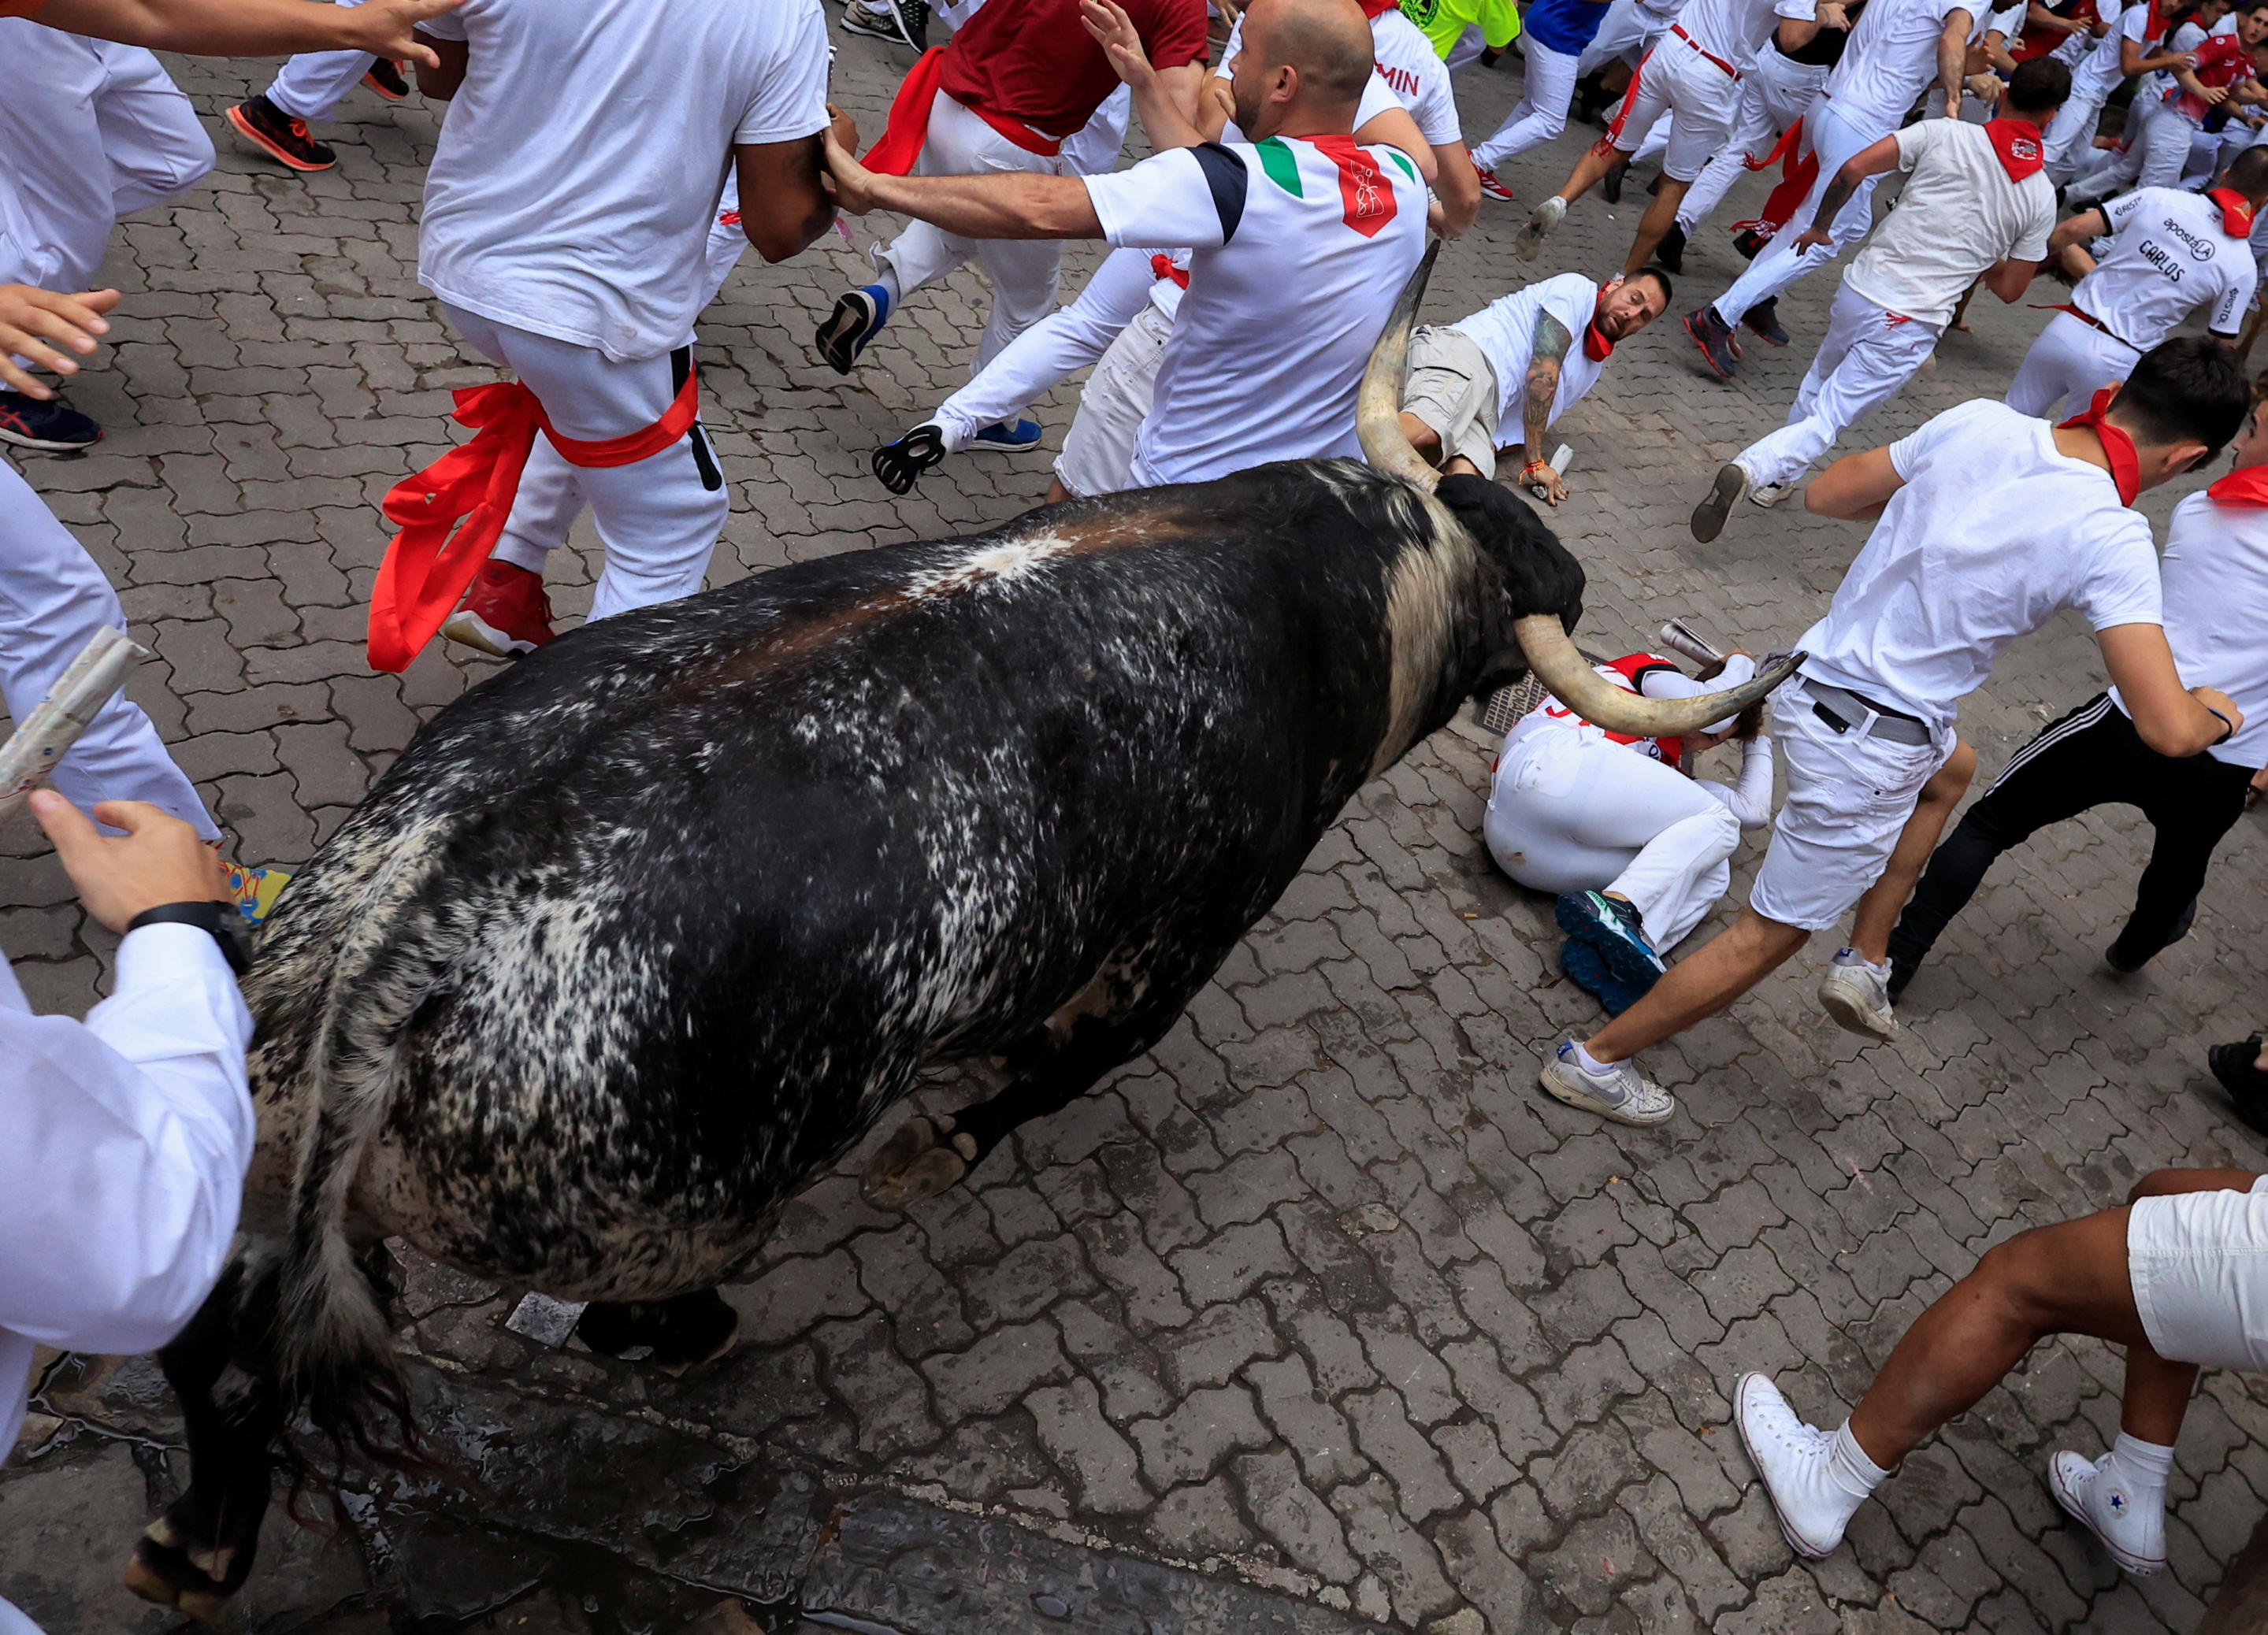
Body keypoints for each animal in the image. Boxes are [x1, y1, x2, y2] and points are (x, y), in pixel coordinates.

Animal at [124, 248, 1787, 1615]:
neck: (1351, 569)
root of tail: (421, 916)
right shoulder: (1172, 949)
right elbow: (1041, 1078)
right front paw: (936, 1152)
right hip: (679, 1204)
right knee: (615, 1315)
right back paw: (698, 1331)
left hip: (275, 1143)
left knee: (225, 1340)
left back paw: (192, 1546)